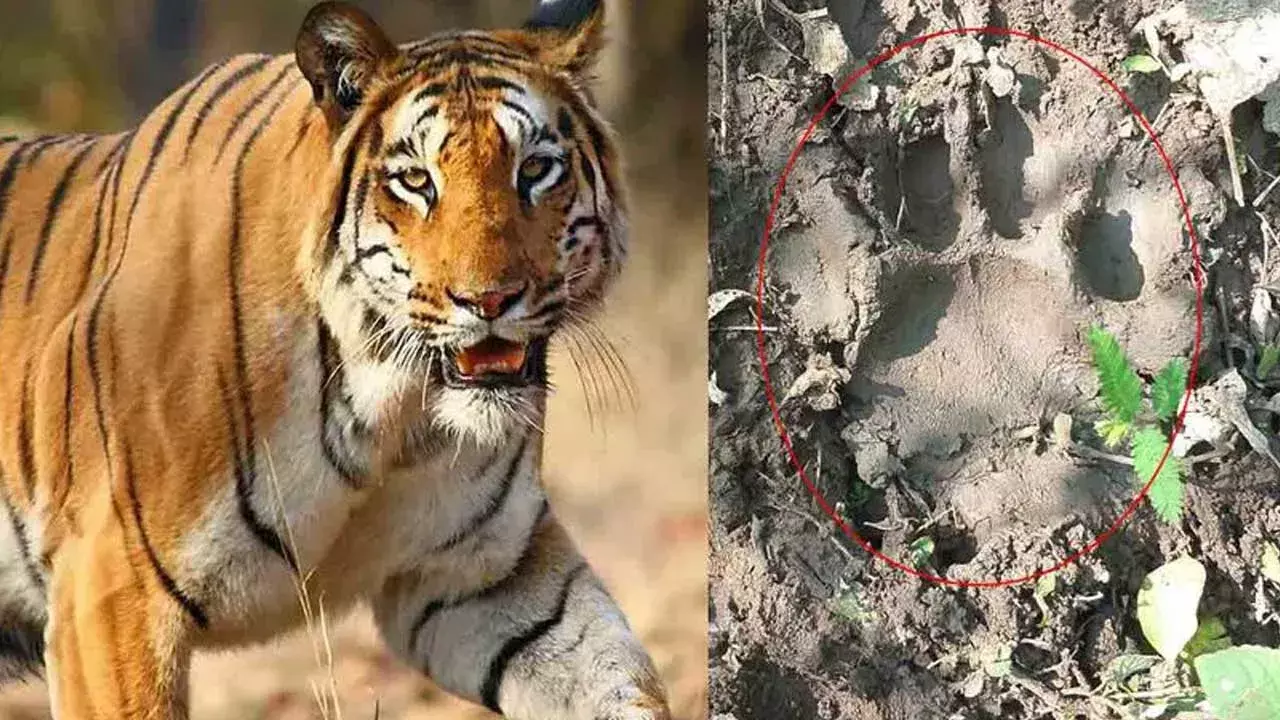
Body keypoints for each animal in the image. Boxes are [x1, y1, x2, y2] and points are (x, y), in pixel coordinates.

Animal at [0, 0, 672, 717]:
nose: (489, 299)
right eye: (416, 181)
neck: (390, 411)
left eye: (537, 170)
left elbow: (617, 676)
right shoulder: (109, 591)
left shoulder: (486, 577)